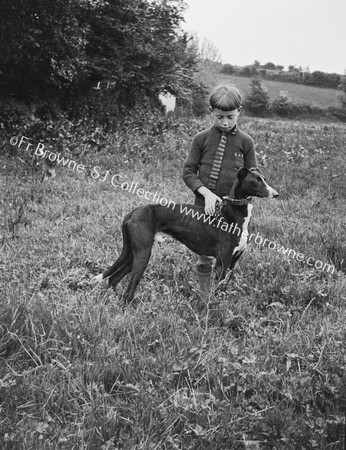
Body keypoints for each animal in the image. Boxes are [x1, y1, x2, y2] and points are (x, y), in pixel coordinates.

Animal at [93, 167, 280, 304]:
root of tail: (133, 212)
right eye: (256, 181)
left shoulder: (232, 262)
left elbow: (223, 290)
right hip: (143, 253)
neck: (232, 214)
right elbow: (216, 293)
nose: (277, 194)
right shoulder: (222, 263)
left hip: (133, 253)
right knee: (128, 289)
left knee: (113, 279)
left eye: (264, 178)